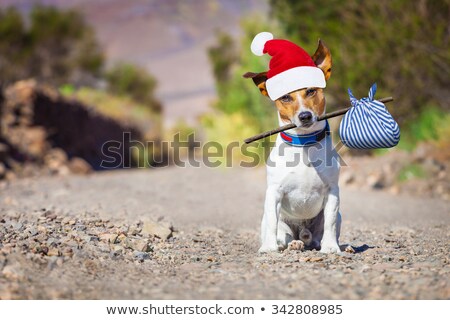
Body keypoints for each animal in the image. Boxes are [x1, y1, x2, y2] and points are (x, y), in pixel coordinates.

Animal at [246, 31, 342, 252]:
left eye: (311, 91)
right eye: (286, 98)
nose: (305, 116)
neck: (304, 144)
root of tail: (302, 232)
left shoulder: (333, 191)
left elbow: (331, 221)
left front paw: (332, 248)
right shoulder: (273, 192)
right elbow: (273, 223)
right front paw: (269, 248)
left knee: (317, 237)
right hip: (274, 221)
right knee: (284, 235)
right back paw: (292, 243)